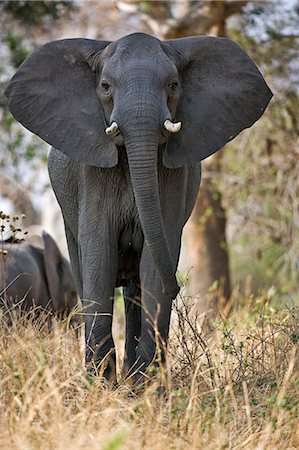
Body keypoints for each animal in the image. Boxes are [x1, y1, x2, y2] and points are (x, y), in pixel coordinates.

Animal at [4, 31, 274, 384]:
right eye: (105, 86)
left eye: (173, 84)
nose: (179, 287)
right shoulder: (92, 176)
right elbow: (99, 255)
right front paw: (101, 386)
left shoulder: (173, 178)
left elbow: (154, 265)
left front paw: (146, 387)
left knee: (135, 289)